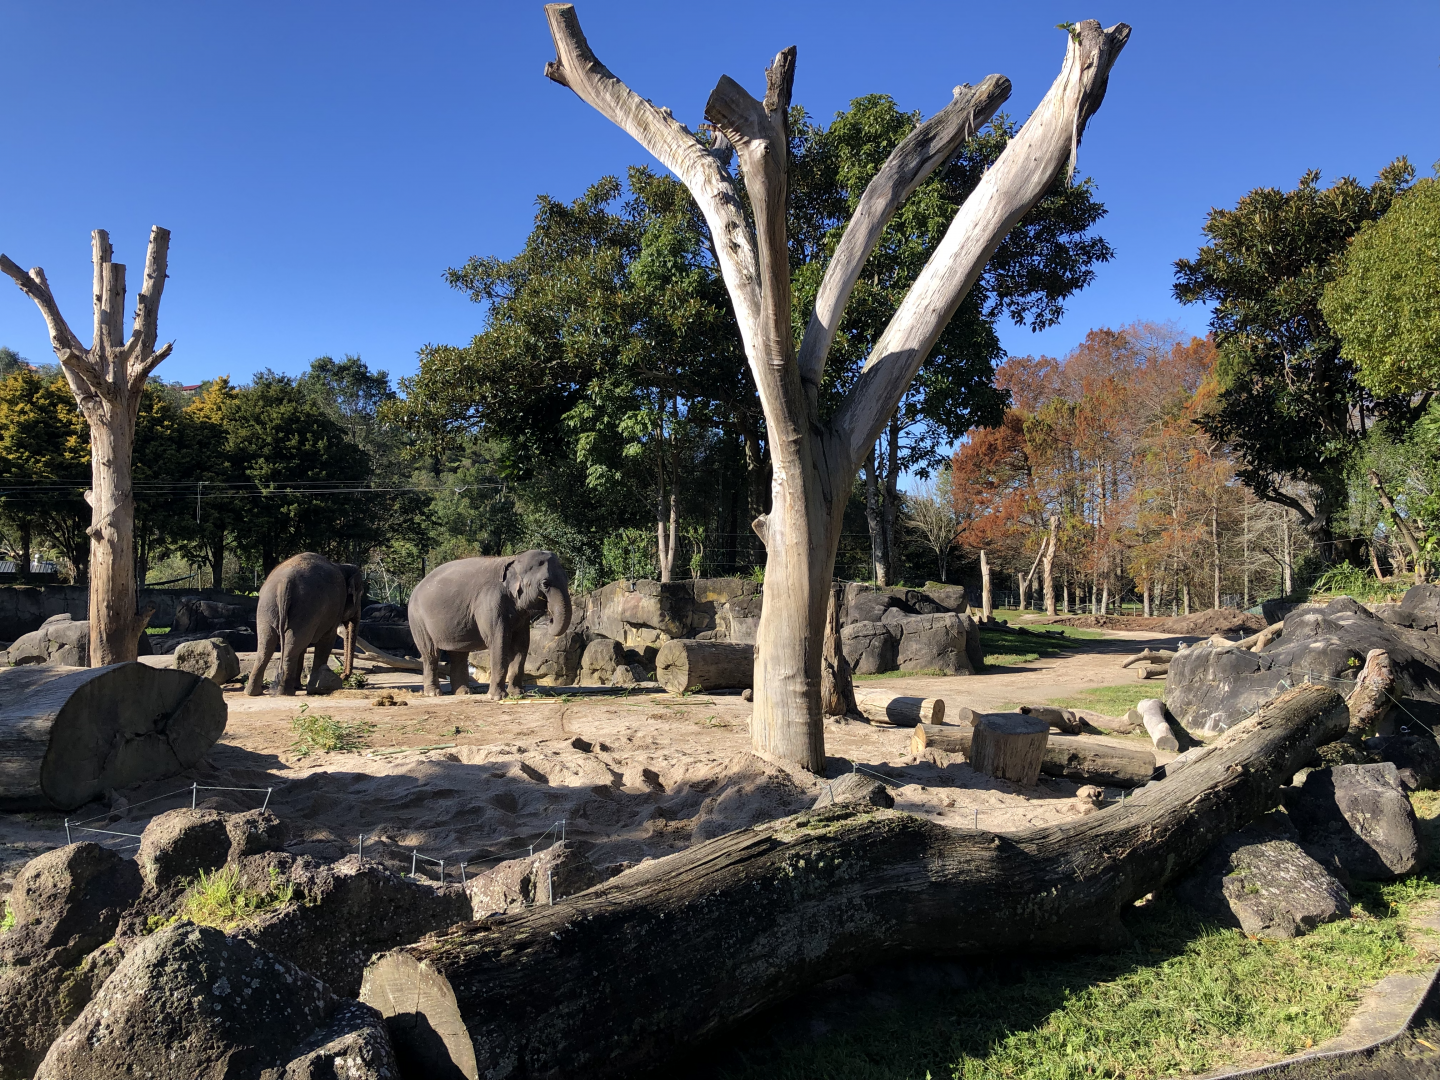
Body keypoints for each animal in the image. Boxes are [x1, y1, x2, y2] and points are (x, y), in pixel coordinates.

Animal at [246, 553, 366, 696]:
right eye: (361, 594)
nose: (343, 676)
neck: (341, 566)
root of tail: (284, 583)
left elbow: (303, 647)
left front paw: (299, 686)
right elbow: (327, 640)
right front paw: (315, 687)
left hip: (267, 608)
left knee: (267, 645)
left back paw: (254, 692)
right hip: (306, 607)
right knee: (294, 644)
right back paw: (284, 692)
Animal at [407, 550, 571, 698]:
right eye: (545, 584)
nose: (549, 619)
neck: (514, 559)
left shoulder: (520, 614)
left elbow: (521, 644)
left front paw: (517, 694)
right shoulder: (490, 602)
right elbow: (499, 641)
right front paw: (497, 697)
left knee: (459, 654)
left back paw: (463, 693)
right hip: (417, 619)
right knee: (431, 653)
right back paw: (433, 693)